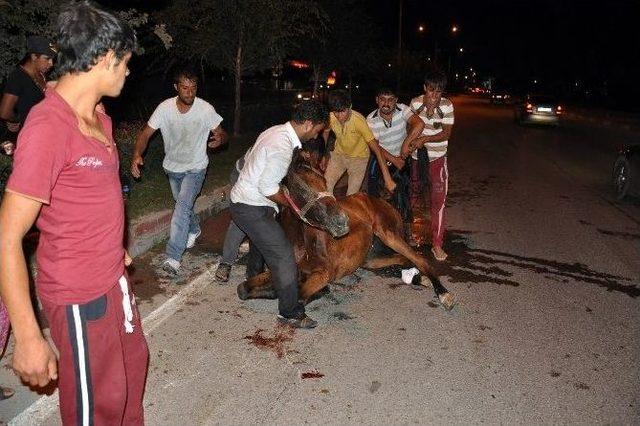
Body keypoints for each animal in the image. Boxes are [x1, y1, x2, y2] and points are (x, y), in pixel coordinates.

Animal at [236, 150, 456, 310]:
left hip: (389, 235)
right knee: (402, 259)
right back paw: (420, 278)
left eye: (324, 181)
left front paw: (319, 291)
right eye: (301, 188)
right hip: (370, 259)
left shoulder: (323, 273)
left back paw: (443, 293)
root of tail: (383, 200)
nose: (341, 221)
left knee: (419, 258)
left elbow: (298, 296)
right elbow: (243, 289)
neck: (301, 243)